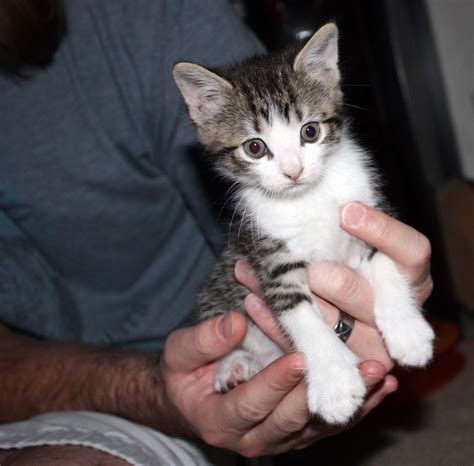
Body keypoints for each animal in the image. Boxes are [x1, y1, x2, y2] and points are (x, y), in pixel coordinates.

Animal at [174, 23, 434, 424]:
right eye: (254, 148)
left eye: (309, 132)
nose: (293, 171)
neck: (307, 197)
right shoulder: (265, 251)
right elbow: (297, 311)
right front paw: (335, 385)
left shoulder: (372, 211)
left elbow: (385, 263)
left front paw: (407, 331)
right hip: (223, 279)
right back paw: (233, 366)